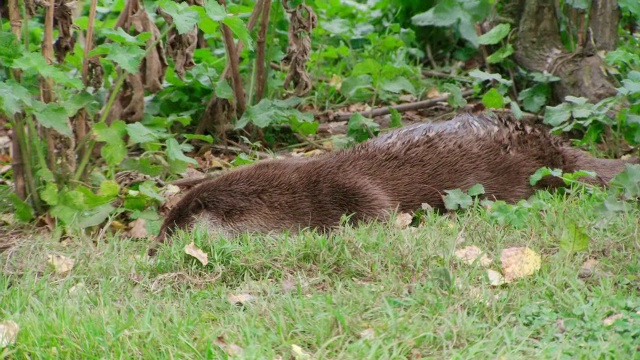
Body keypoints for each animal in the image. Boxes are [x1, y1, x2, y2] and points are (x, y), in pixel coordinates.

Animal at [149, 111, 636, 255]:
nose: (152, 249)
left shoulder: (350, 187)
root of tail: (552, 147)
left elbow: (378, 216)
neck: (291, 198)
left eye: (174, 224)